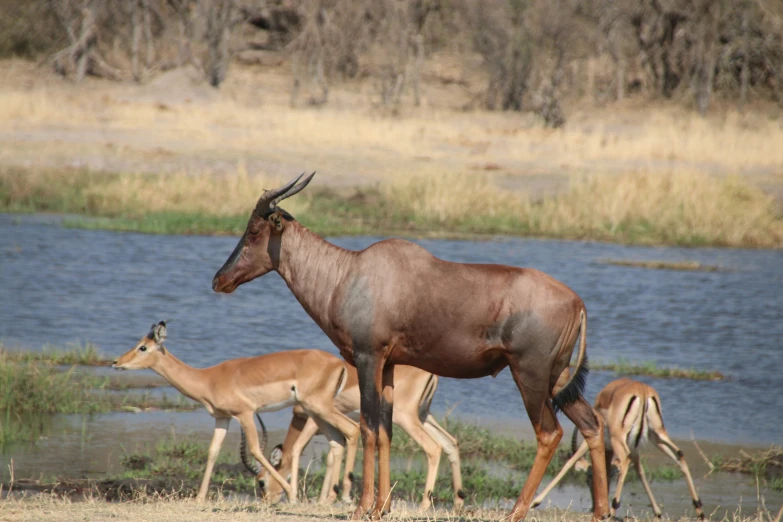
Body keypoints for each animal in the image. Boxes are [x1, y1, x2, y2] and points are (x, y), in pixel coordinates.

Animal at [112, 318, 360, 502]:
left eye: (143, 347)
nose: (116, 363)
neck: (208, 379)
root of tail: (339, 364)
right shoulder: (222, 418)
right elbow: (213, 451)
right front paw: (199, 498)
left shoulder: (245, 414)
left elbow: (256, 450)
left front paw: (291, 494)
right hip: (318, 413)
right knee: (338, 441)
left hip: (319, 408)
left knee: (352, 430)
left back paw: (345, 496)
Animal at [243, 362, 466, 508]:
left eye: (261, 481)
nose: (267, 502)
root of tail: (431, 374)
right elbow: (332, 456)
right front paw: (323, 500)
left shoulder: (313, 421)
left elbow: (298, 449)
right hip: (423, 415)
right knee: (450, 443)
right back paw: (458, 502)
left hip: (407, 418)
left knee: (433, 447)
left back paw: (424, 504)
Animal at [532, 376, 704, 516]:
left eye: (589, 478)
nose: (593, 506)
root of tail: (642, 391)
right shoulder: (633, 448)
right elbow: (639, 471)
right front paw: (657, 512)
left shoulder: (595, 437)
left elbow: (570, 461)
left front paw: (536, 501)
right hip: (657, 435)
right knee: (679, 453)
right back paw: (699, 509)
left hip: (619, 438)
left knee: (625, 459)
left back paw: (613, 508)